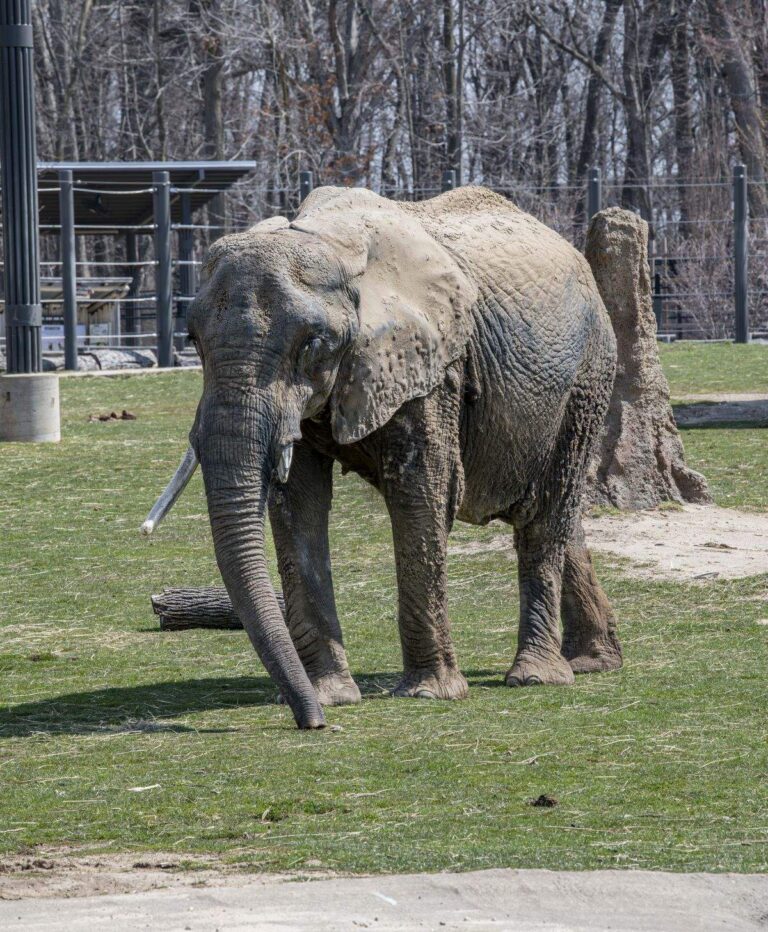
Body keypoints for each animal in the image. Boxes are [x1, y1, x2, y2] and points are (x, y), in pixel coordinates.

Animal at [144, 185, 623, 729]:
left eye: (312, 343)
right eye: (193, 341)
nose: (312, 723)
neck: (329, 242)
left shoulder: (432, 366)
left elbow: (422, 493)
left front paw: (430, 694)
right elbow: (298, 504)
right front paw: (331, 695)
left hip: (587, 378)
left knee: (546, 513)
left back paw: (537, 677)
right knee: (555, 516)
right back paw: (593, 662)